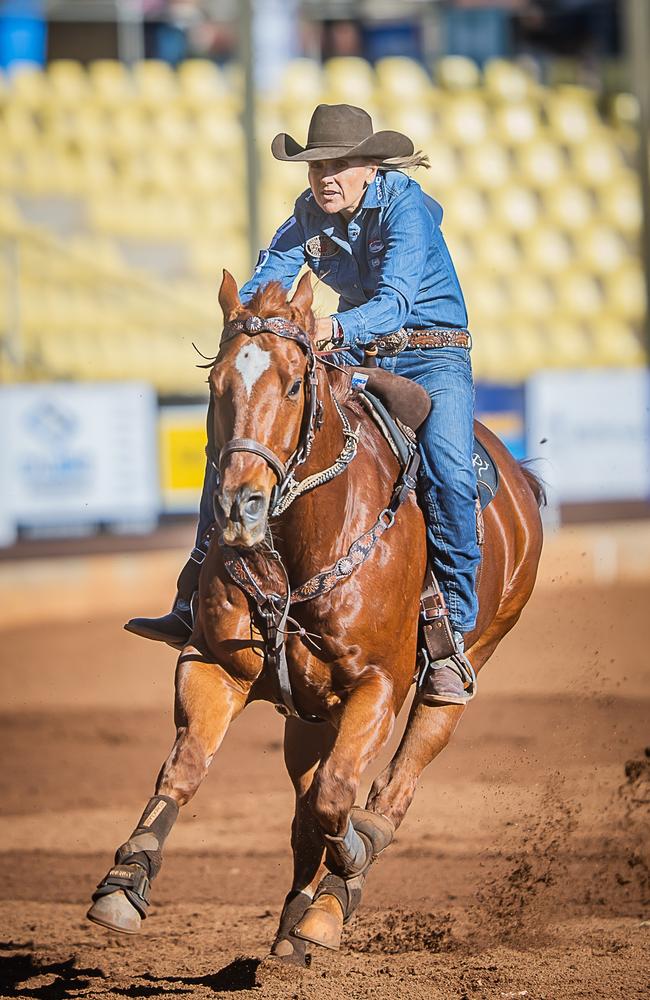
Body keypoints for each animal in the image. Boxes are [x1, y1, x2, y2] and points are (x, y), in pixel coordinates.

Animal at [86, 272, 540, 960]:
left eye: (295, 384)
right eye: (215, 386)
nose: (239, 507)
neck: (309, 543)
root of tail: (520, 480)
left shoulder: (378, 687)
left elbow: (336, 799)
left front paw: (348, 866)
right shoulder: (214, 664)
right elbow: (186, 767)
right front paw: (125, 881)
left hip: (462, 665)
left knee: (394, 784)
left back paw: (331, 902)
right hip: (308, 715)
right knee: (306, 814)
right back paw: (293, 924)